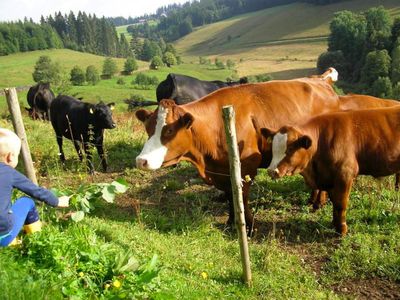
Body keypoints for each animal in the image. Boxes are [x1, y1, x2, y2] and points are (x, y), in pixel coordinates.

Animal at [135, 71, 340, 232]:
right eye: (148, 128)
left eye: (169, 130)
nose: (141, 160)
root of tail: (321, 80)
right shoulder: (224, 169)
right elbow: (230, 195)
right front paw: (231, 222)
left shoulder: (246, 166)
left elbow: (241, 196)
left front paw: (248, 226)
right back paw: (314, 201)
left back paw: (318, 202)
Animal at [262, 106, 400, 236]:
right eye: (273, 146)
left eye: (290, 149)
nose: (272, 170)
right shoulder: (328, 177)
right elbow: (334, 201)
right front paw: (334, 224)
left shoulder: (345, 174)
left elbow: (340, 203)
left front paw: (341, 230)